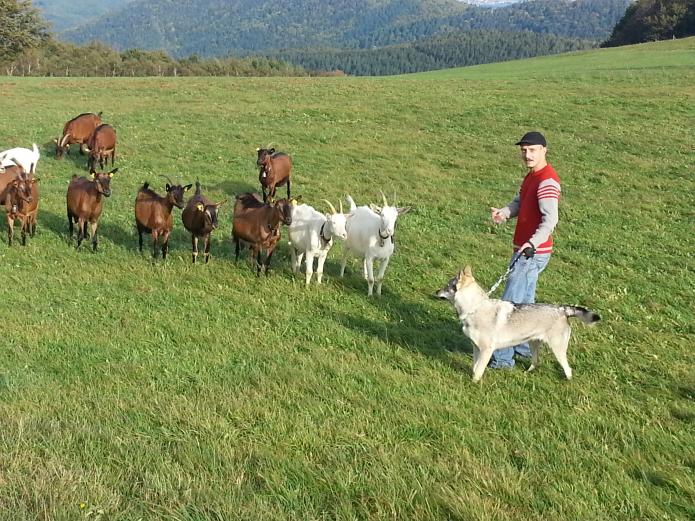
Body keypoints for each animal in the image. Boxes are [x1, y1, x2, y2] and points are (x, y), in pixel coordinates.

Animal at [438, 264, 600, 382]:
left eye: (447, 286)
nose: (436, 291)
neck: (474, 308)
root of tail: (562, 309)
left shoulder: (486, 350)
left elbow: (478, 370)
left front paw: (474, 383)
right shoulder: (476, 348)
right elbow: (474, 367)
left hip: (557, 349)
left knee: (568, 369)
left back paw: (567, 382)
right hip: (533, 344)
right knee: (536, 362)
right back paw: (527, 373)